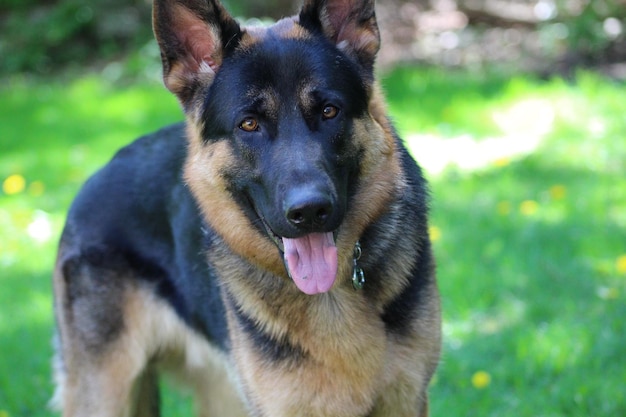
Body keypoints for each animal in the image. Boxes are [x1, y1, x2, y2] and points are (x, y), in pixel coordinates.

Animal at [51, 0, 438, 414]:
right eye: (249, 124)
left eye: (330, 111)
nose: (309, 211)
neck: (330, 295)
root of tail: (98, 172)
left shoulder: (405, 399)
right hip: (106, 393)